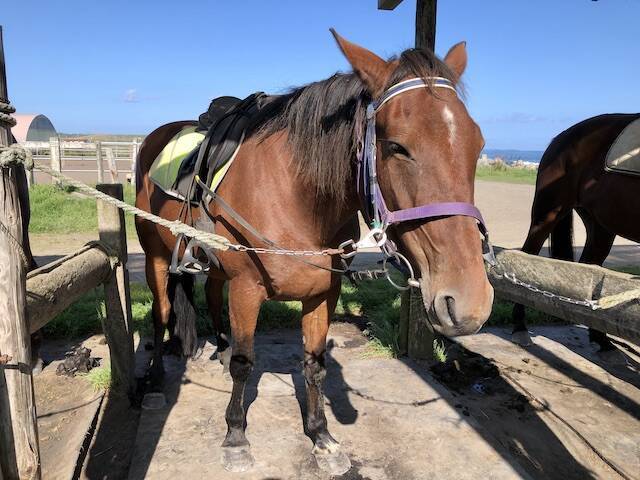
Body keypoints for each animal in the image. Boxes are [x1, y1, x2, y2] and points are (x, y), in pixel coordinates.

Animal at [134, 30, 493, 474]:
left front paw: (321, 435)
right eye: (396, 146)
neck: (295, 197)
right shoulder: (247, 289)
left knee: (212, 299)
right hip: (156, 257)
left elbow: (314, 365)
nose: (469, 302)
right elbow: (244, 364)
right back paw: (154, 381)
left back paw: (219, 346)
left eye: (477, 144)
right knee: (162, 315)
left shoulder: (323, 293)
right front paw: (236, 434)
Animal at [512, 113, 640, 355]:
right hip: (547, 215)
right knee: (524, 257)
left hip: (600, 227)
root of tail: (562, 137)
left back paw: (601, 341)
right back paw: (519, 328)